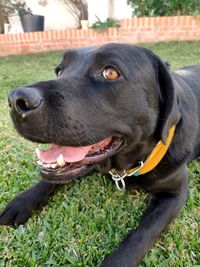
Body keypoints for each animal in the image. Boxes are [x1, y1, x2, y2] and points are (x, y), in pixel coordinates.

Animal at [0, 43, 200, 266]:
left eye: (110, 73)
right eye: (59, 71)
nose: (16, 100)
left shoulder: (175, 193)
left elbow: (142, 234)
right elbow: (49, 179)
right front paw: (22, 201)